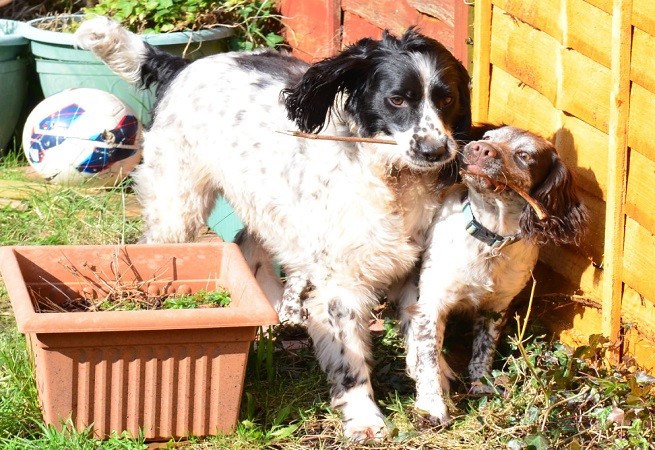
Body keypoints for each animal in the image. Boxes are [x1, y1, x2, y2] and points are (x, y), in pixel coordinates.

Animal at [77, 17, 474, 440]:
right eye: (397, 100)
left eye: (447, 99)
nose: (435, 151)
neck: (391, 182)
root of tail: (183, 65)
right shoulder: (341, 286)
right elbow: (350, 363)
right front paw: (365, 419)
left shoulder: (415, 274)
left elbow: (424, 345)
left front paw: (432, 401)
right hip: (177, 209)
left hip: (264, 206)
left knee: (247, 244)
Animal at [398, 125, 592, 424]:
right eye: (488, 138)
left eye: (524, 155)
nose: (479, 148)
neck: (490, 238)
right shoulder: (432, 303)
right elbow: (428, 358)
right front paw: (432, 406)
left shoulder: (496, 306)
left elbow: (484, 349)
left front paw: (482, 385)